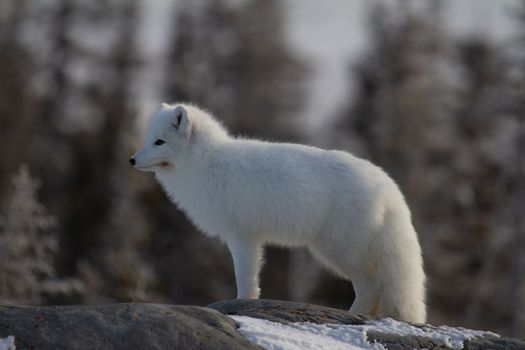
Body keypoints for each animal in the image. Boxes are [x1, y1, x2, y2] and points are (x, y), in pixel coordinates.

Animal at [130, 103, 426, 322]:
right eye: (148, 139)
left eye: (159, 142)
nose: (131, 160)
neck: (206, 163)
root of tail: (388, 187)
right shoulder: (252, 238)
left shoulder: (242, 236)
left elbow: (245, 278)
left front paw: (241, 304)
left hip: (338, 250)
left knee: (370, 286)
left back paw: (350, 315)